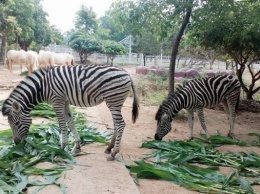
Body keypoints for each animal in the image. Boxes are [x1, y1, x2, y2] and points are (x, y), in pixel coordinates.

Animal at [2, 64, 139, 160]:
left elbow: (62, 124)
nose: (16, 143)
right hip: (115, 102)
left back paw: (114, 153)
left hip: (113, 100)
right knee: (116, 124)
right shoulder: (65, 101)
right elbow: (71, 122)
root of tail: (127, 73)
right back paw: (109, 147)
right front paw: (77, 147)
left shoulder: (57, 101)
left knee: (120, 124)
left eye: (16, 124)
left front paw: (61, 148)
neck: (41, 87)